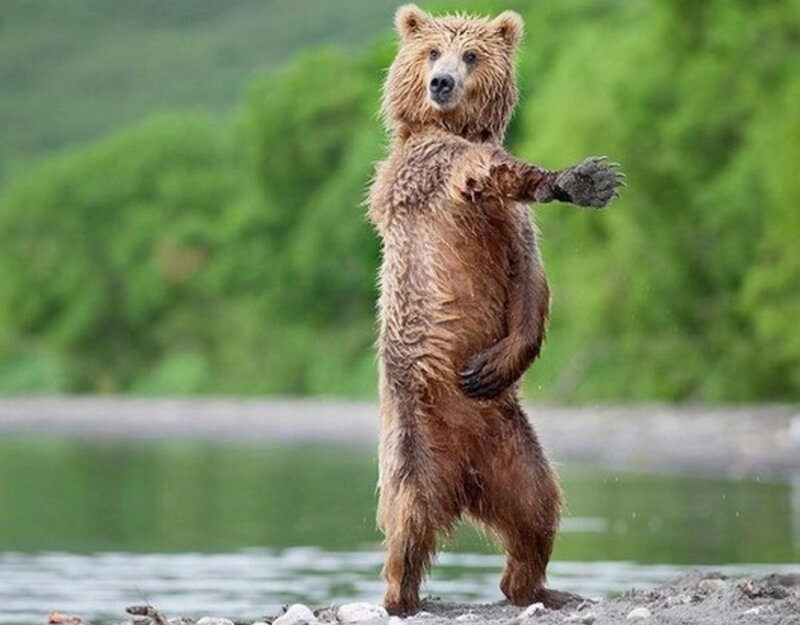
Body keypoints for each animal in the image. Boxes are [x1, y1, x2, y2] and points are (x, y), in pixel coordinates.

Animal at [367, 5, 623, 616]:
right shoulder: (435, 171)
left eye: (471, 55)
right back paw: (402, 596)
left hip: (512, 443)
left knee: (538, 507)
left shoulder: (512, 231)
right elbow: (486, 169)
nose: (441, 83)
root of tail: (463, 480)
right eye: (432, 52)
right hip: (414, 436)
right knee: (409, 515)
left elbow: (531, 284)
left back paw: (538, 587)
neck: (449, 127)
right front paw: (572, 179)